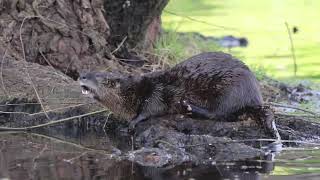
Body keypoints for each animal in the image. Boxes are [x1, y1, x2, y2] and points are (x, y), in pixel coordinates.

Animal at [79, 51, 264, 129]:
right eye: (88, 71)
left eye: (97, 76)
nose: (81, 76)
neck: (134, 90)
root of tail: (256, 96)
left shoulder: (157, 91)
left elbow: (152, 107)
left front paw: (133, 122)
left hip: (231, 88)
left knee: (221, 113)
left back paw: (189, 107)